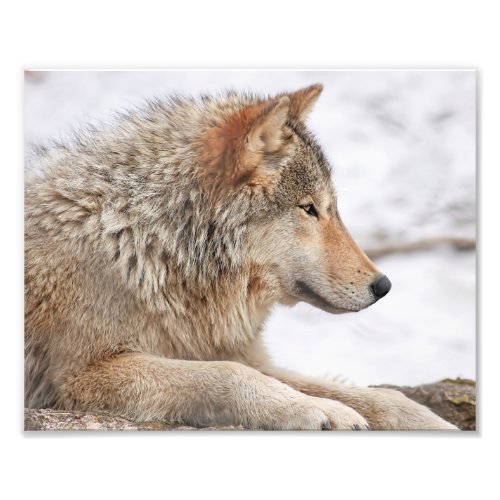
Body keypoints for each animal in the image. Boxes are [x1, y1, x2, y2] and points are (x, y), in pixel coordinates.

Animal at [25, 83, 458, 430]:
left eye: (332, 208)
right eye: (309, 209)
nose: (383, 285)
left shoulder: (243, 353)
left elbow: (377, 396)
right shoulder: (82, 375)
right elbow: (230, 375)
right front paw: (321, 410)